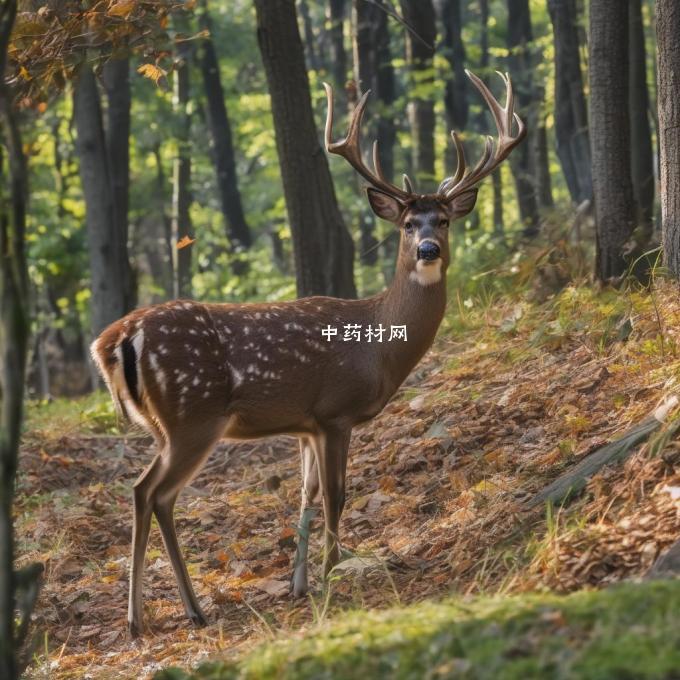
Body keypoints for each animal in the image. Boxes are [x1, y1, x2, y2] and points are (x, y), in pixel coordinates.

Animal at [91, 69, 524, 636]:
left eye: (446, 220)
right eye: (408, 225)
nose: (428, 250)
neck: (378, 348)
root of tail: (113, 340)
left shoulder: (302, 424)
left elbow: (306, 494)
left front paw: (299, 584)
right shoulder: (335, 411)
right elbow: (338, 494)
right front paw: (333, 571)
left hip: (170, 425)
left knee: (144, 492)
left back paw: (146, 617)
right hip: (194, 416)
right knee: (154, 493)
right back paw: (182, 610)